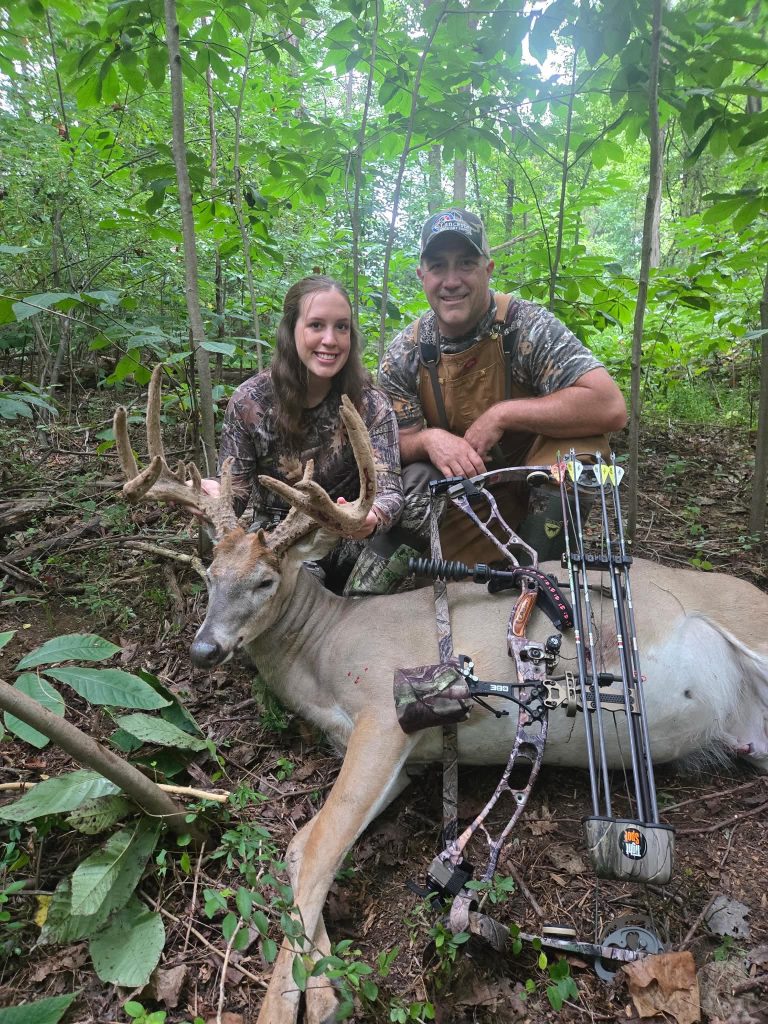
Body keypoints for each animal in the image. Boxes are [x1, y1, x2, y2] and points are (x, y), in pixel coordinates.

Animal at [115, 367, 768, 1024]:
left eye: (265, 581)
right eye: (209, 575)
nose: (205, 649)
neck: (324, 653)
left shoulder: (385, 712)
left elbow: (319, 845)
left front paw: (290, 1003)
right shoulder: (402, 756)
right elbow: (302, 848)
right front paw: (324, 989)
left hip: (752, 623)